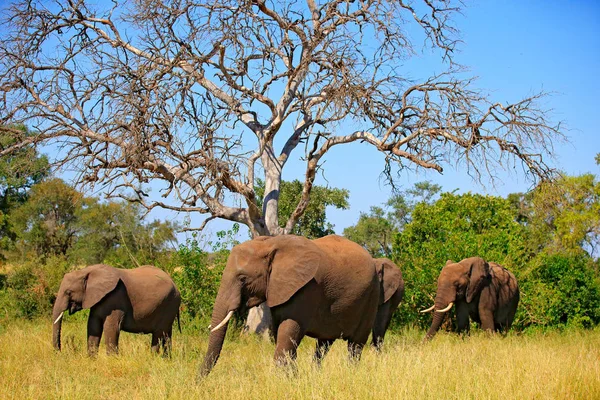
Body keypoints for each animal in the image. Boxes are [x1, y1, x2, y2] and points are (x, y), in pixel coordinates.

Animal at [51, 264, 180, 354]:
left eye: (68, 292)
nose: (59, 353)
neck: (88, 270)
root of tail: (175, 285)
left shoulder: (116, 299)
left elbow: (111, 328)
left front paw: (112, 359)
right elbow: (93, 326)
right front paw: (91, 360)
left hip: (168, 305)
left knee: (158, 334)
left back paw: (153, 358)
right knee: (167, 336)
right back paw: (166, 359)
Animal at [200, 233, 380, 376]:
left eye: (243, 278)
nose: (198, 382)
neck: (270, 244)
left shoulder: (306, 289)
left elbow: (289, 332)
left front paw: (287, 380)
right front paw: (293, 377)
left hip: (371, 296)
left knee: (355, 346)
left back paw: (351, 374)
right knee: (324, 344)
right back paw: (316, 375)